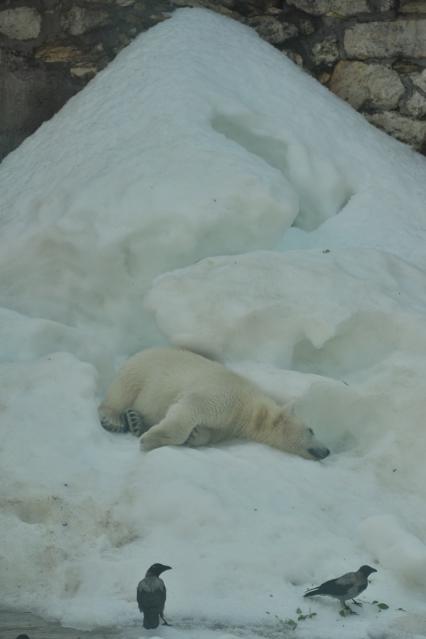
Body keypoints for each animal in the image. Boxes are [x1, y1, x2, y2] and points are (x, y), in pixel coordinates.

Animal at [99, 350, 330, 460]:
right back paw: (114, 419)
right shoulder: (223, 396)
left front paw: (195, 435)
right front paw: (152, 438)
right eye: (311, 429)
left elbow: (208, 432)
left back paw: (135, 420)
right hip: (141, 373)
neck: (248, 408)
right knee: (121, 392)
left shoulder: (226, 426)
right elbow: (191, 407)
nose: (327, 450)